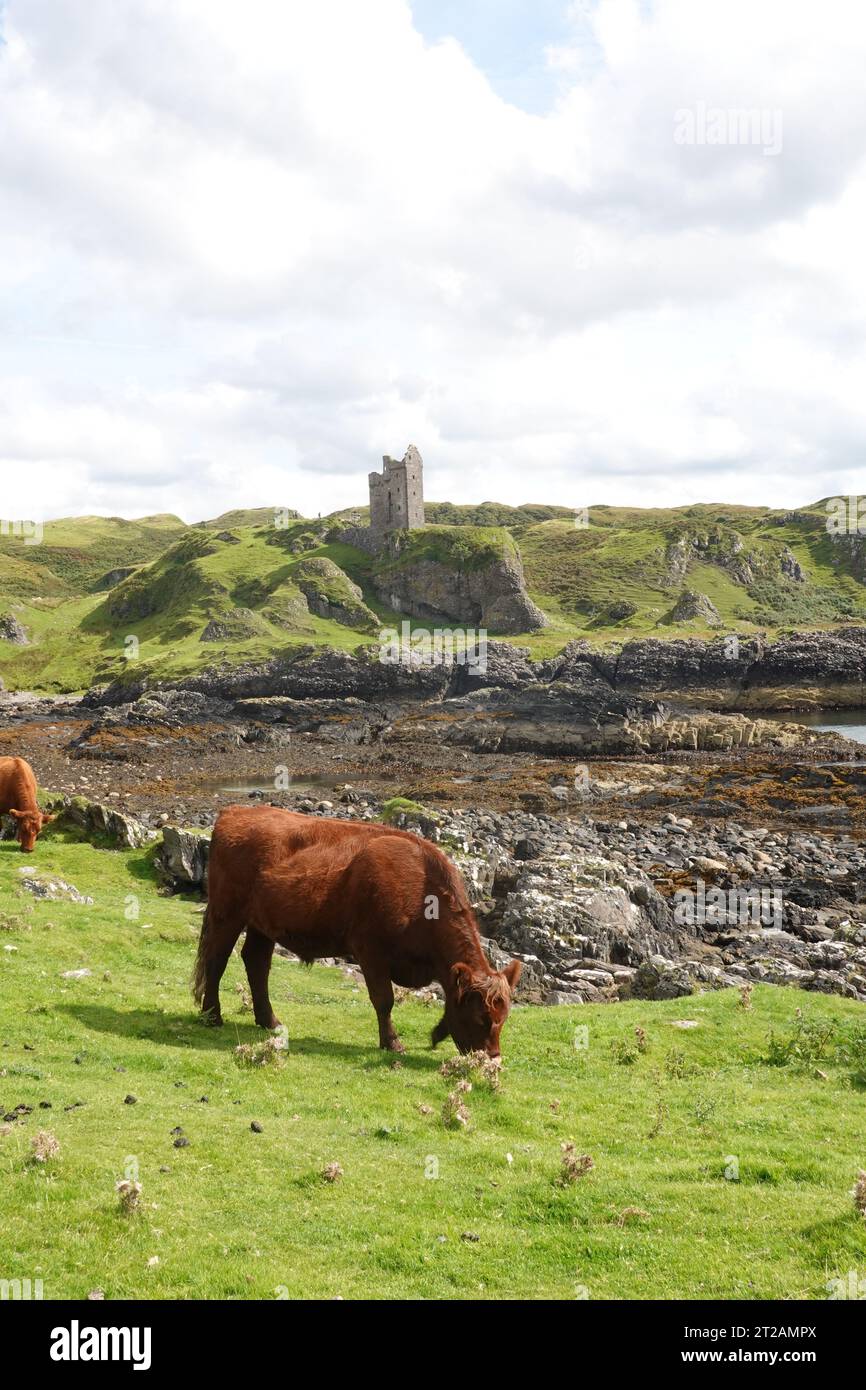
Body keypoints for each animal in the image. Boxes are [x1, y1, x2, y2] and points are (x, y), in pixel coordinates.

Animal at [195, 800, 522, 1056]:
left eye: (504, 1017)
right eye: (481, 1018)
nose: (493, 1058)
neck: (420, 889)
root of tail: (235, 811)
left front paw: (436, 1034)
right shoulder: (370, 950)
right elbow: (384, 999)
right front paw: (393, 1043)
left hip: (261, 924)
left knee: (256, 963)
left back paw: (270, 1021)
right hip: (227, 915)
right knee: (216, 960)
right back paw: (212, 1016)